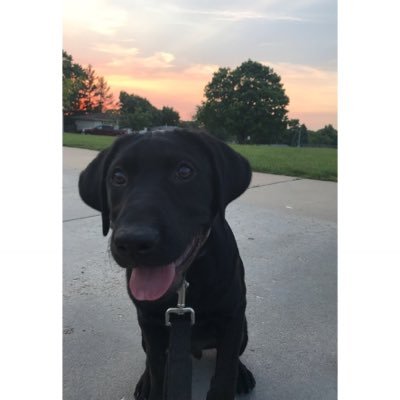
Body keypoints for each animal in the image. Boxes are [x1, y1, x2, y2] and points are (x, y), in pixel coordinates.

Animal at [78, 129, 256, 400]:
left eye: (184, 171)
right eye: (118, 177)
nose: (133, 241)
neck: (185, 286)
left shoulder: (233, 316)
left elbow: (225, 369)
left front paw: (230, 379)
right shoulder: (150, 323)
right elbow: (156, 368)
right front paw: (151, 384)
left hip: (244, 329)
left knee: (235, 356)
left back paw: (242, 373)